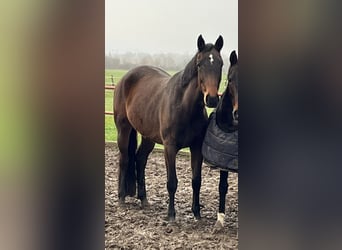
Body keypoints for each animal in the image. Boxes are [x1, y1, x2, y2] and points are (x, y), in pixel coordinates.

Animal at [113, 34, 223, 221]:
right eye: (200, 65)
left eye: (221, 64)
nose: (212, 99)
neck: (184, 106)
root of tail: (124, 79)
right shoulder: (169, 148)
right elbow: (172, 182)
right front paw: (171, 214)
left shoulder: (196, 148)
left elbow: (196, 181)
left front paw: (196, 213)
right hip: (123, 129)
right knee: (125, 159)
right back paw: (121, 198)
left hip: (148, 136)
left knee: (140, 159)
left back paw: (144, 199)